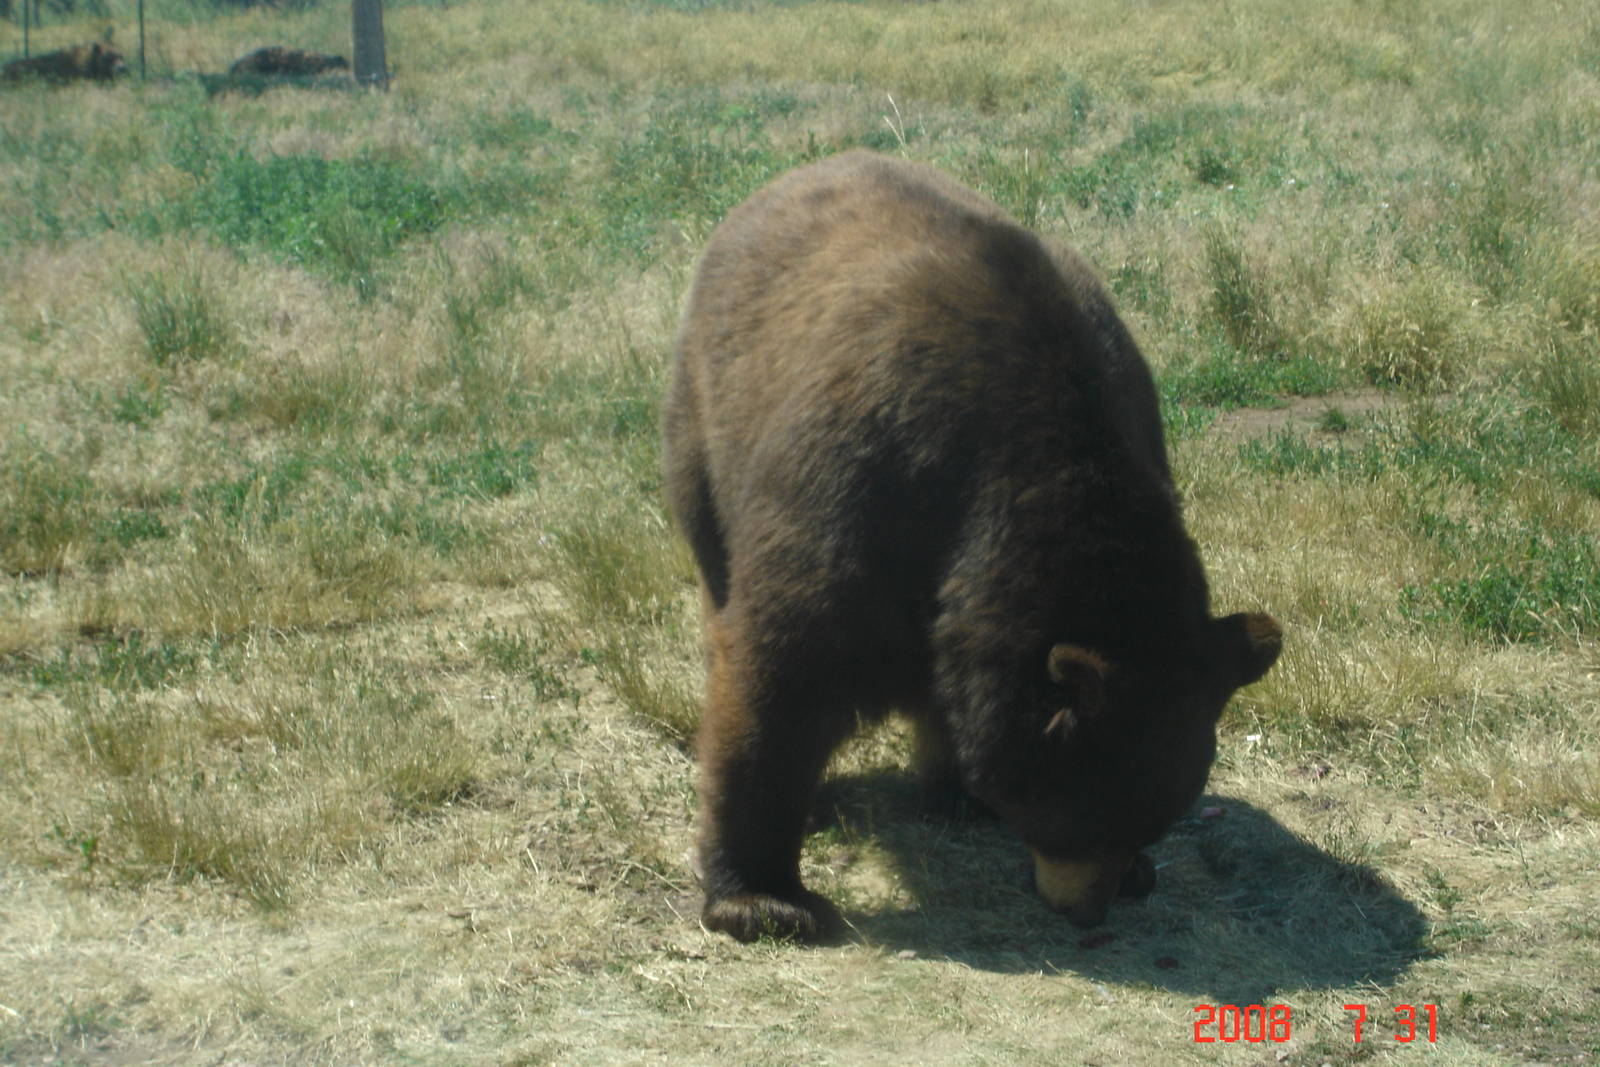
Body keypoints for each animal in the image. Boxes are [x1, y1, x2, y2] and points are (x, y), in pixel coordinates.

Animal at [661, 150, 1283, 944]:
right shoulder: (865, 487)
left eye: (1150, 821)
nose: (1086, 910)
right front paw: (765, 900)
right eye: (1078, 819)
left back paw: (953, 791)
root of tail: (792, 176)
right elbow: (785, 668)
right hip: (708, 425)